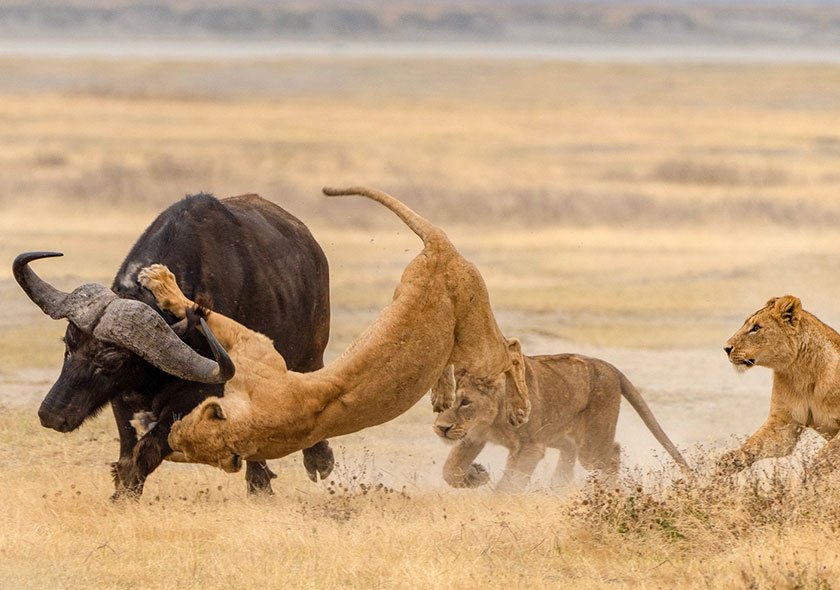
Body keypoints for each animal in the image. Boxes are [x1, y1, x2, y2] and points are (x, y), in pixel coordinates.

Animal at [13, 194, 334, 500]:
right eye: (68, 345)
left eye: (112, 360)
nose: (51, 414)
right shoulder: (122, 397)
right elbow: (128, 452)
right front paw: (122, 493)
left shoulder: (200, 393)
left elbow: (147, 450)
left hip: (311, 354)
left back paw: (308, 465)